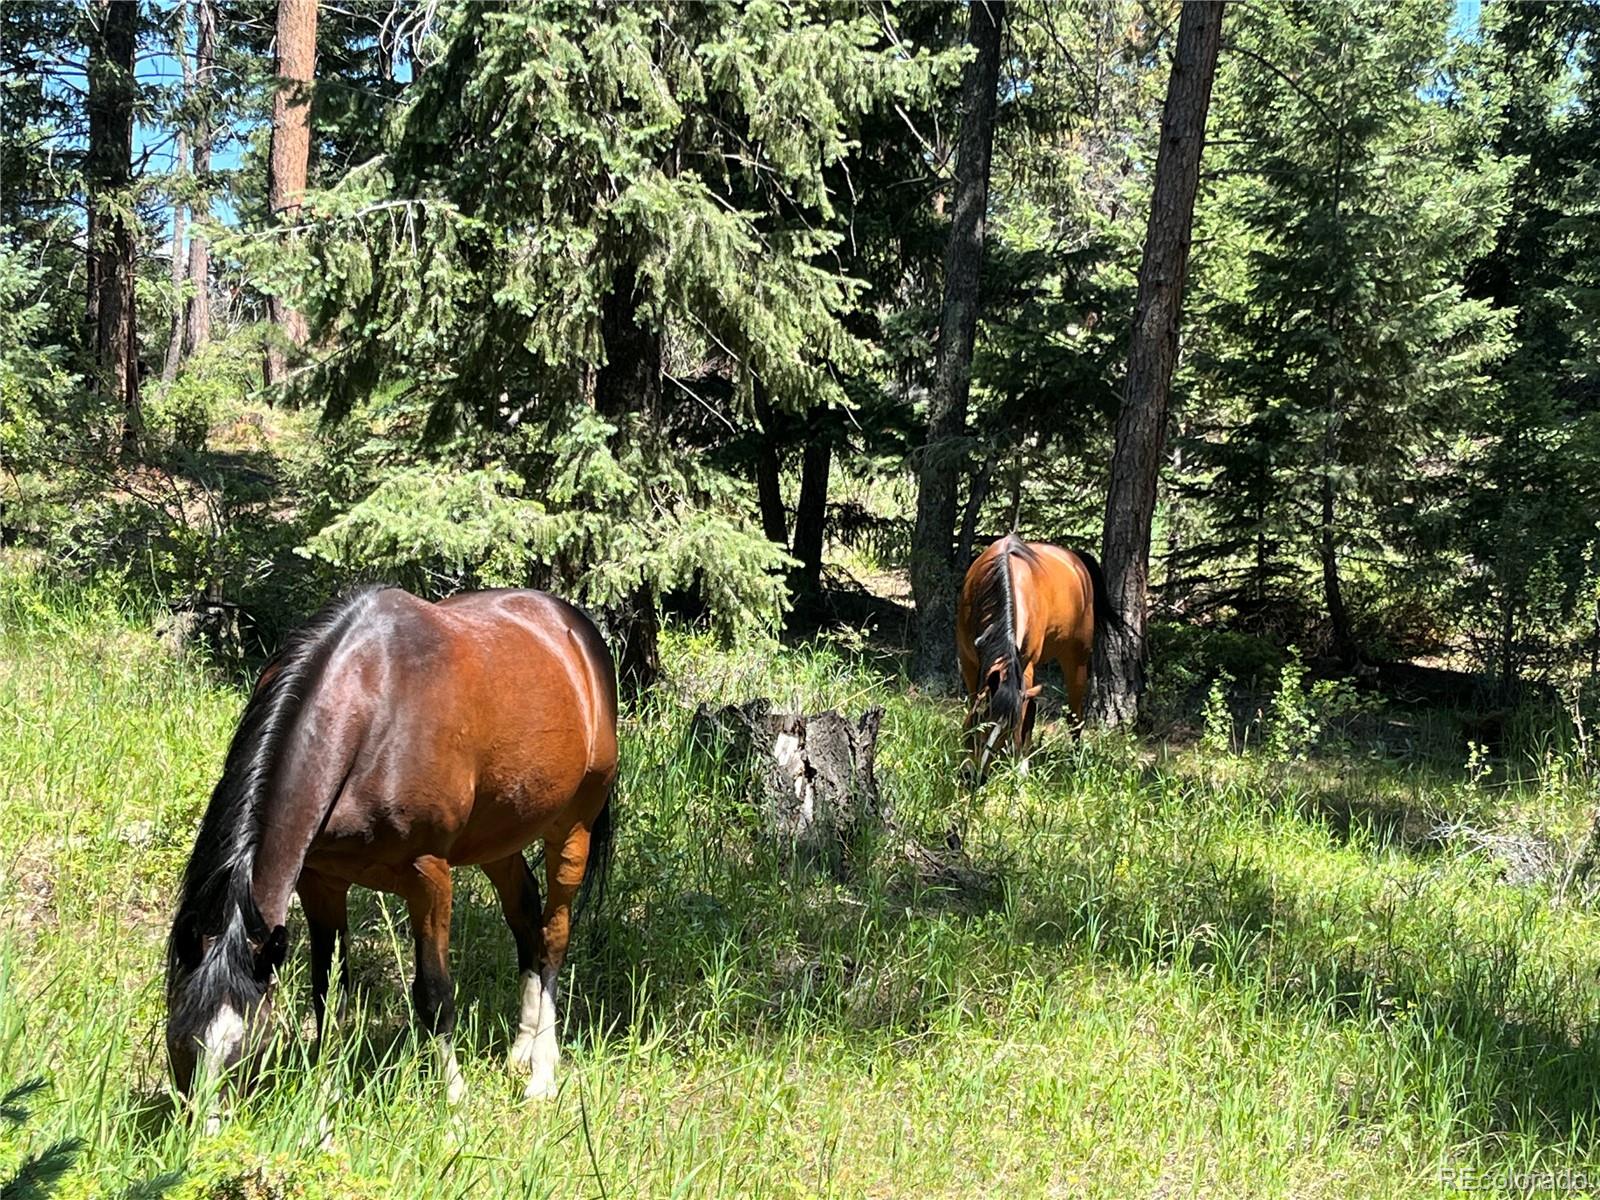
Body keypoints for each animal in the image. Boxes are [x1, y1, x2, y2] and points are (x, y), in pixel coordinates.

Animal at [167, 588, 617, 1107]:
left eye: (242, 1048)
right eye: (179, 1041)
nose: (203, 1124)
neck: (370, 711)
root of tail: (575, 628)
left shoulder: (429, 878)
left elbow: (434, 993)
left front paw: (453, 1098)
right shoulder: (321, 882)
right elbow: (329, 990)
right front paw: (326, 1097)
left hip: (573, 827)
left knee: (553, 936)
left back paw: (542, 1073)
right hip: (499, 836)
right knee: (525, 917)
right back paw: (521, 1048)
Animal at [960, 534, 1113, 780]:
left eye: (1007, 731)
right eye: (983, 719)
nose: (979, 777)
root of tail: (1075, 558)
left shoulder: (1025, 666)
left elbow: (1023, 717)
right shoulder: (969, 662)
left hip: (1076, 661)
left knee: (1074, 717)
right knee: (1032, 708)